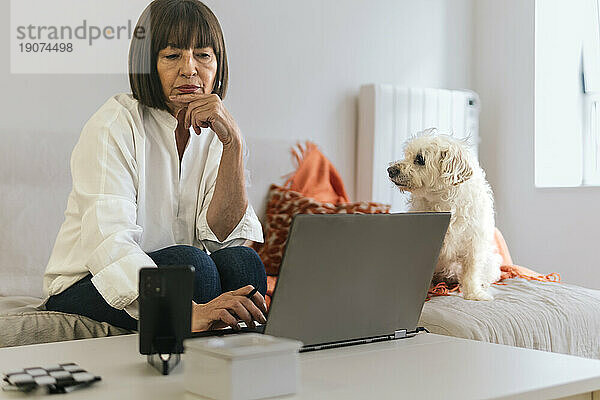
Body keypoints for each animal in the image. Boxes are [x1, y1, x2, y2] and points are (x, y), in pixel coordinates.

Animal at [386, 131, 500, 300]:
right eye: (407, 155)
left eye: (420, 159)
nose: (390, 170)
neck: (443, 202)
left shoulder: (474, 244)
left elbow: (471, 272)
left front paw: (474, 293)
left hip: (491, 262)